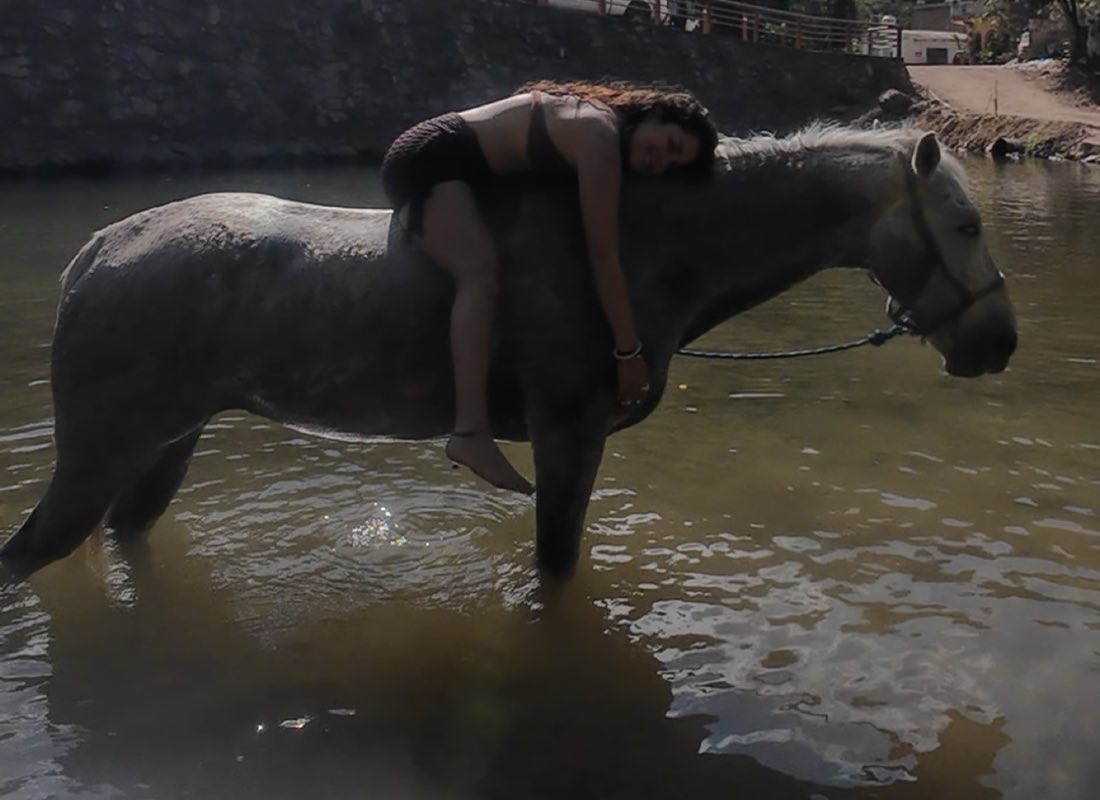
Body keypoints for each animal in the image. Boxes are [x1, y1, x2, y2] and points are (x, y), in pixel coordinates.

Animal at [0, 125, 1017, 578]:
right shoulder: (570, 439)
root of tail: (101, 248)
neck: (643, 248)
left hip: (164, 447)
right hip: (100, 455)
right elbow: (556, 568)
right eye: (966, 226)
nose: (1000, 341)